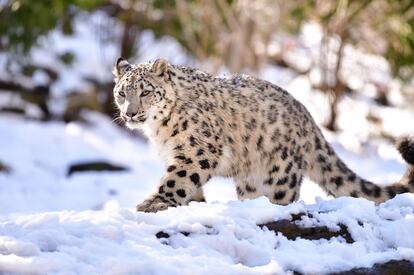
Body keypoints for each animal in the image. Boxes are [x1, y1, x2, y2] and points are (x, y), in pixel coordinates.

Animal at [111, 57, 412, 213]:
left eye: (146, 91)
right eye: (122, 92)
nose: (129, 114)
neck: (158, 130)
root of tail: (308, 119)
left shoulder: (197, 150)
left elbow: (177, 179)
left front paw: (153, 203)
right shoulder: (180, 154)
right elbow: (188, 184)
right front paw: (193, 203)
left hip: (279, 176)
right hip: (252, 180)